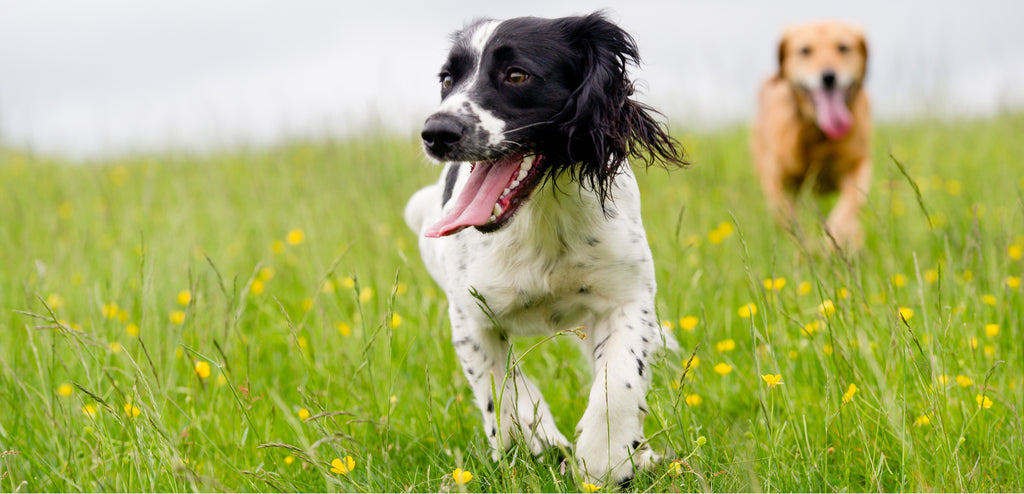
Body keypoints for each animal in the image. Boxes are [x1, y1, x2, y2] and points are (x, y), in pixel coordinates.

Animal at [403, 11, 684, 481]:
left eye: (517, 75)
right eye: (446, 79)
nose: (436, 132)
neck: (541, 214)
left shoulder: (628, 296)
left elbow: (618, 381)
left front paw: (604, 459)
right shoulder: (470, 318)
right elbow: (503, 390)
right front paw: (537, 442)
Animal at [753, 20, 872, 249]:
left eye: (843, 47)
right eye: (805, 50)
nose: (829, 77)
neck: (819, 134)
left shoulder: (858, 164)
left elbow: (846, 210)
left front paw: (836, 242)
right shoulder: (778, 182)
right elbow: (791, 222)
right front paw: (806, 247)